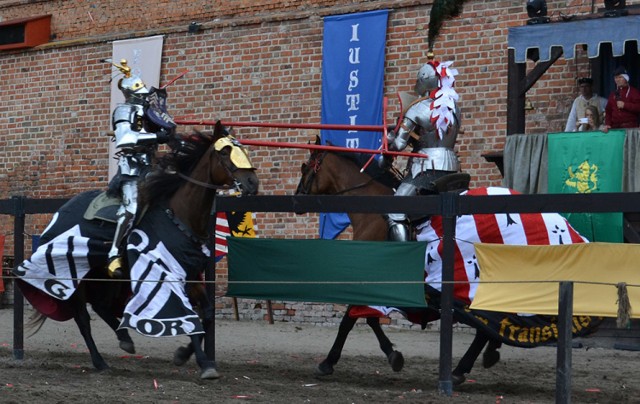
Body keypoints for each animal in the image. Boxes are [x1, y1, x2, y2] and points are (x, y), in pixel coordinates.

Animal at [13, 121, 258, 380]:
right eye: (224, 152)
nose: (252, 182)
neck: (179, 214)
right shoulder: (167, 275)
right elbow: (188, 317)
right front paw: (202, 363)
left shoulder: (191, 275)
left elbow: (208, 314)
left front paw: (186, 356)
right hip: (75, 278)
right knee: (82, 318)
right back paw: (100, 361)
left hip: (105, 278)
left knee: (101, 306)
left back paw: (125, 339)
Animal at [296, 145, 600, 386]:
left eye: (306, 167)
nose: (297, 199)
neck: (371, 212)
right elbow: (366, 318)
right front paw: (392, 354)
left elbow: (351, 319)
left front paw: (329, 361)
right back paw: (483, 356)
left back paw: (460, 369)